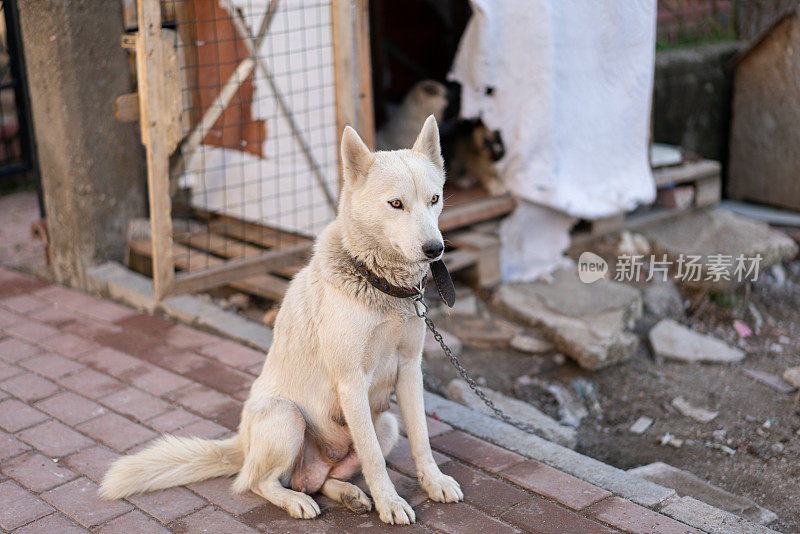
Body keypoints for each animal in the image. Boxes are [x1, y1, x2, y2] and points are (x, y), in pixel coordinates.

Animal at [100, 115, 462, 524]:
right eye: (396, 204)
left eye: (434, 199)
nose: (435, 249)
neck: (379, 281)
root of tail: (242, 443)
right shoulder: (351, 382)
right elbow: (374, 461)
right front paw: (390, 502)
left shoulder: (409, 368)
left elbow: (421, 439)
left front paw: (434, 482)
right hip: (288, 417)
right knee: (258, 482)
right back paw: (296, 501)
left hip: (384, 423)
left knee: (321, 479)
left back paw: (349, 494)